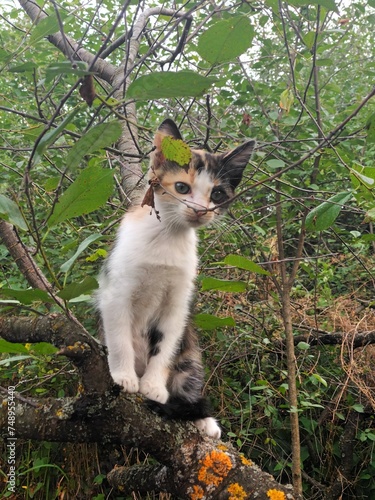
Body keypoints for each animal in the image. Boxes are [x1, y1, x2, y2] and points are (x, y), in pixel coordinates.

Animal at [97, 118, 256, 438]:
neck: (168, 237)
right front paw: (124, 376)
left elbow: (166, 346)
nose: (199, 210)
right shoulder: (115, 291)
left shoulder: (178, 303)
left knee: (188, 372)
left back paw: (204, 421)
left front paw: (154, 386)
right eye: (182, 187)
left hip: (190, 352)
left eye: (217, 194)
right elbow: (119, 336)